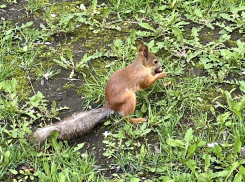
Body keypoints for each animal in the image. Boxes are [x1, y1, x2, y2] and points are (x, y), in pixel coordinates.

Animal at [32, 42, 167, 144]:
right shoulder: (141, 78)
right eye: (155, 61)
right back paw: (138, 120)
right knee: (126, 118)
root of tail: (110, 107)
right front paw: (161, 75)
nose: (161, 66)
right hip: (129, 99)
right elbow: (146, 84)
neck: (141, 66)